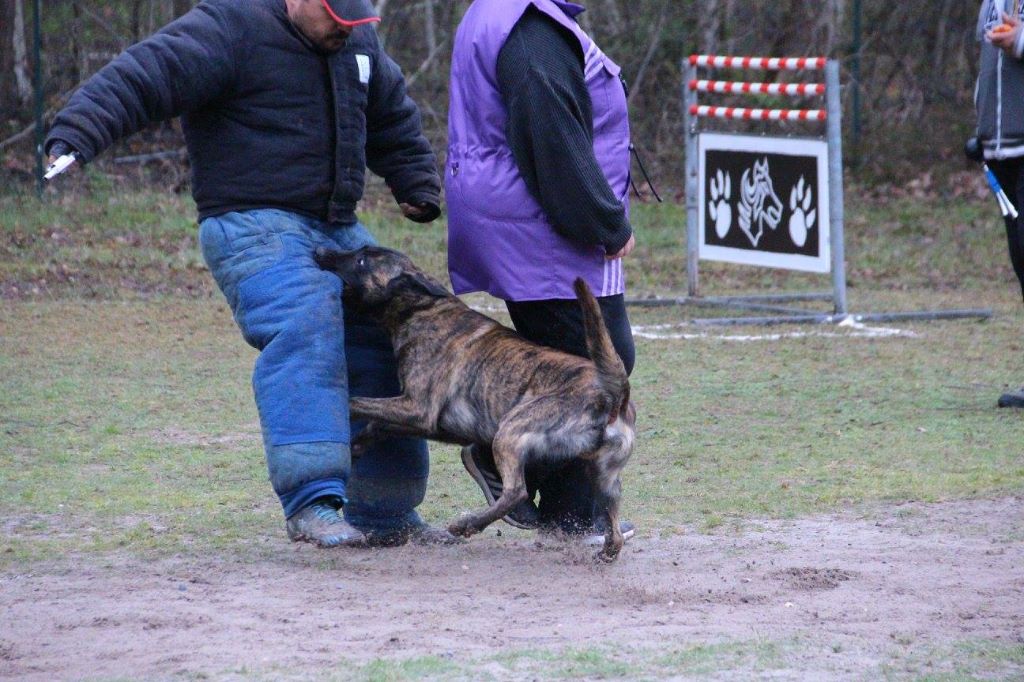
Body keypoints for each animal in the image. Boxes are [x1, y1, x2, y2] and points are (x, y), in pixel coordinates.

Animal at [313, 244, 630, 557]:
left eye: (361, 260)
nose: (319, 250)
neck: (421, 309)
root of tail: (615, 395)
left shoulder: (417, 409)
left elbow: (356, 402)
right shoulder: (416, 418)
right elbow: (376, 426)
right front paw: (355, 447)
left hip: (511, 432)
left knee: (517, 491)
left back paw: (468, 525)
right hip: (605, 476)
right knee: (613, 525)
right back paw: (606, 550)